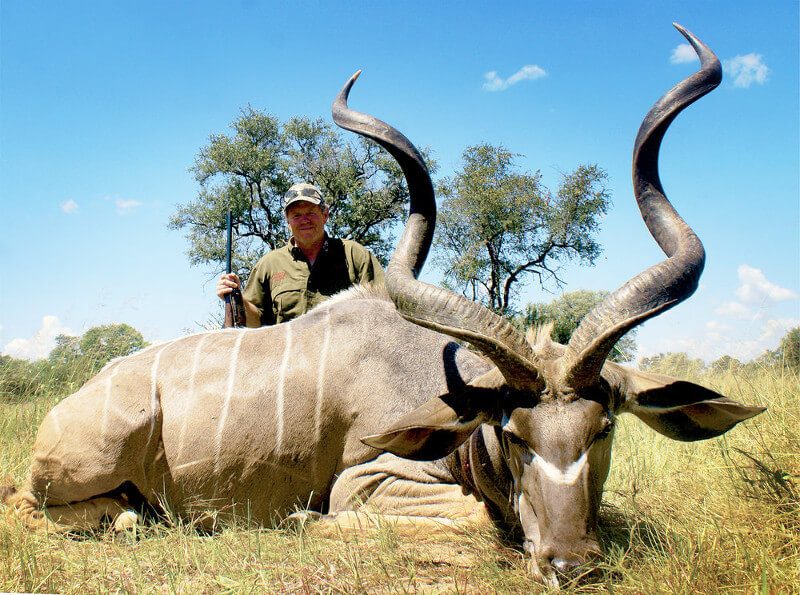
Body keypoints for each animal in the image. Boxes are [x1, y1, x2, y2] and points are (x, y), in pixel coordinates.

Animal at [3, 24, 763, 585]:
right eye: (515, 435)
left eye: (602, 429)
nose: (570, 564)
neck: (448, 385)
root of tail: (74, 401)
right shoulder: (370, 479)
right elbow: (472, 524)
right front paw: (303, 521)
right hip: (76, 474)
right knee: (56, 510)